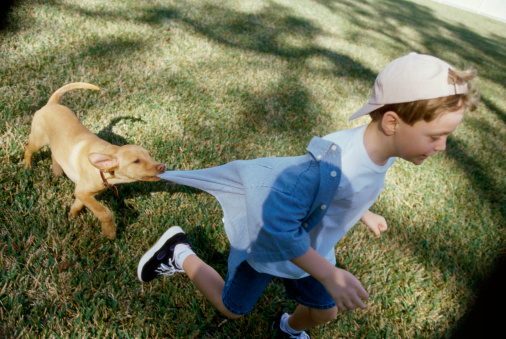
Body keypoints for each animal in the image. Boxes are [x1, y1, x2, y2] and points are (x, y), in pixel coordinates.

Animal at [24, 82, 166, 240]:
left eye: (149, 155)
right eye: (136, 161)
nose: (162, 167)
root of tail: (52, 103)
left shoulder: (82, 192)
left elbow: (79, 204)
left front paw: (72, 215)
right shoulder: (84, 192)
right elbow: (104, 212)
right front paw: (110, 232)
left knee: (54, 155)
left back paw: (57, 172)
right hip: (38, 139)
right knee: (28, 149)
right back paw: (27, 165)